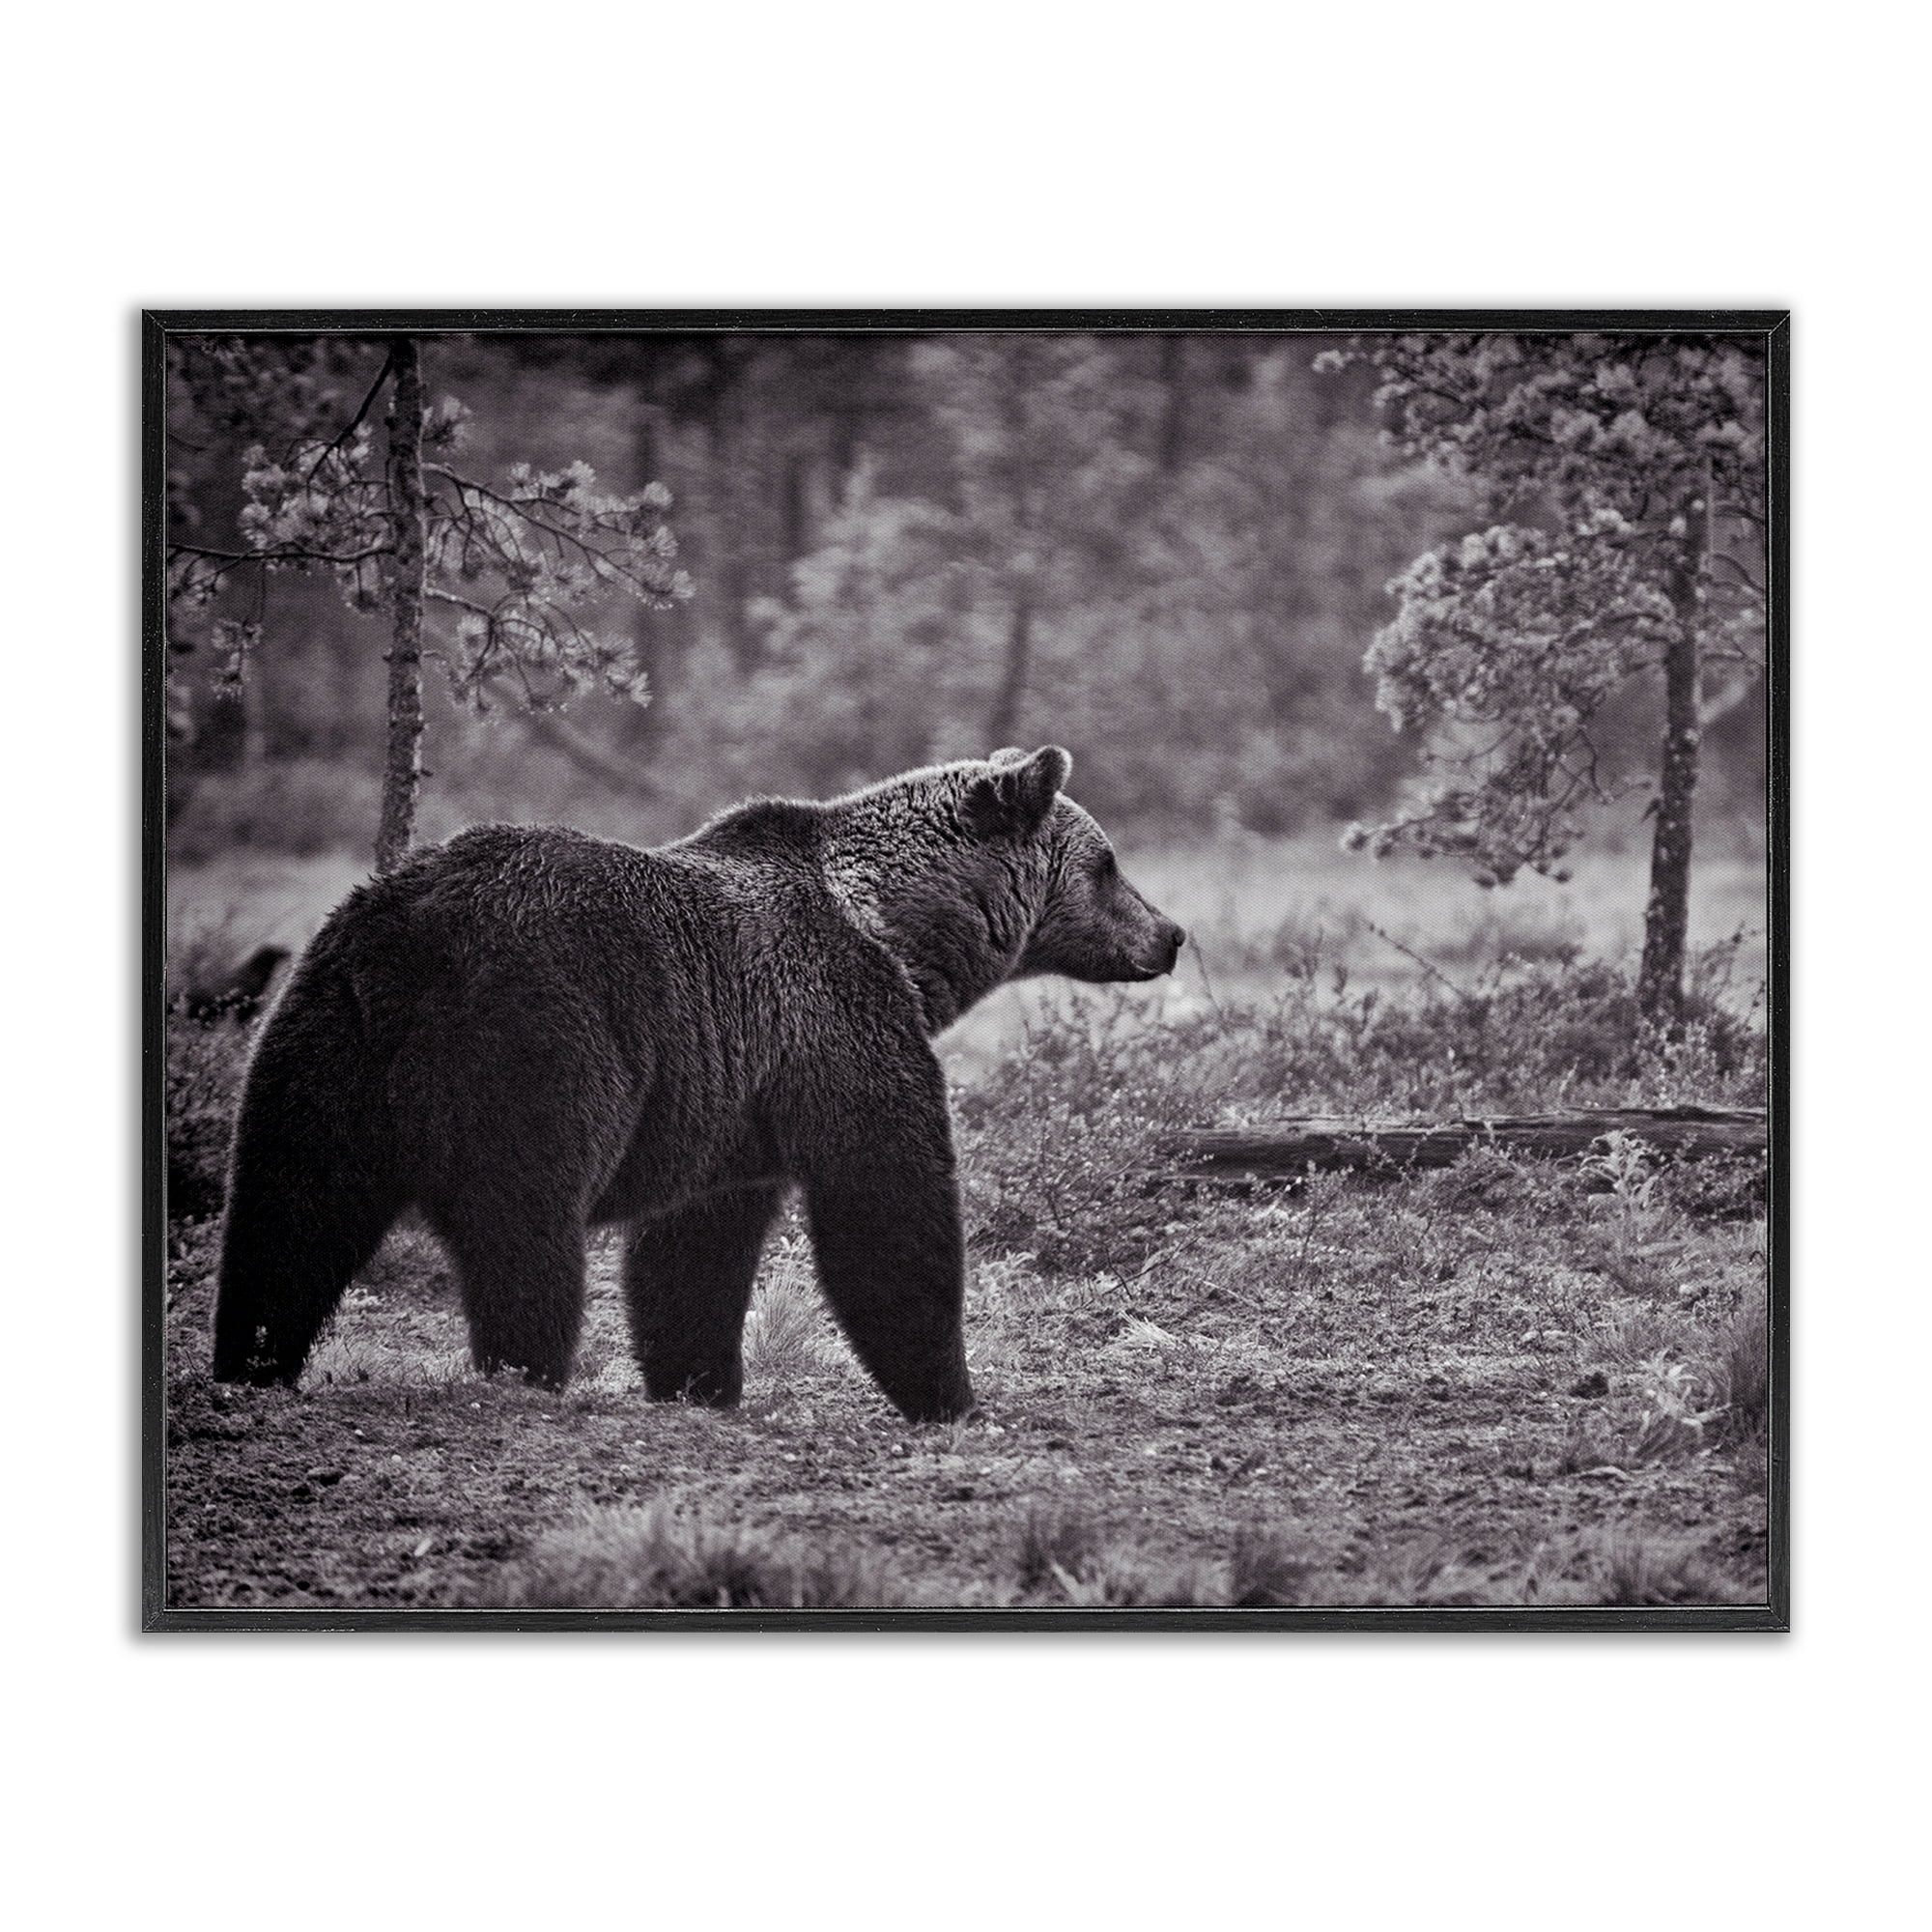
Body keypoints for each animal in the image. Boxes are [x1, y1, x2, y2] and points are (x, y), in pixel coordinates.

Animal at [211, 746, 1184, 1422]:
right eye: (1108, 863)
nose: (1171, 933)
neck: (898, 935)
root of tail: (410, 935)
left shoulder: (729, 1095)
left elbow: (694, 1248)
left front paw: (698, 1380)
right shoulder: (836, 1022)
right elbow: (887, 1204)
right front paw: (948, 1393)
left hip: (321, 1039)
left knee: (287, 1212)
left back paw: (252, 1362)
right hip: (539, 1038)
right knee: (523, 1225)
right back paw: (525, 1370)